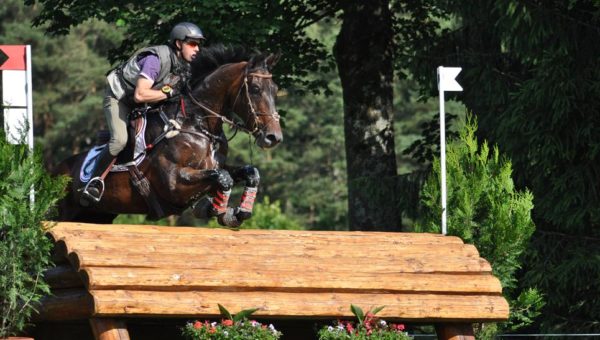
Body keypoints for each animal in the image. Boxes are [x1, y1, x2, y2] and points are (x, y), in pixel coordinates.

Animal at [52, 45, 282, 226]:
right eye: (255, 88)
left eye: (275, 89)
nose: (274, 138)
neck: (198, 125)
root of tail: (54, 170)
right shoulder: (172, 183)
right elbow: (223, 178)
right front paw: (218, 209)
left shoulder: (216, 166)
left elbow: (249, 172)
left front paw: (236, 212)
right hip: (64, 212)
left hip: (98, 215)